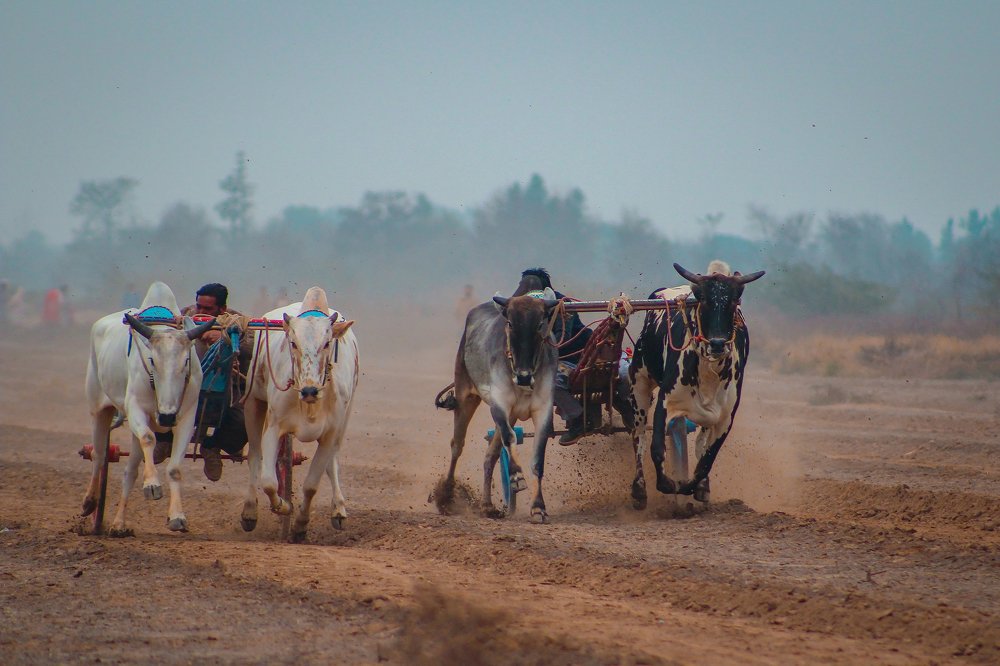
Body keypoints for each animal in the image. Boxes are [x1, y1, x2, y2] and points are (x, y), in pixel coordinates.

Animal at [82, 281, 215, 535]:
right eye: (152, 360)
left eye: (186, 361)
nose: (166, 416)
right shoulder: (135, 409)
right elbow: (149, 438)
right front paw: (152, 485)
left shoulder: (186, 418)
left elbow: (174, 468)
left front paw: (177, 516)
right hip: (97, 408)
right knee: (99, 455)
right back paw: (90, 503)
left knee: (130, 471)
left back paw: (119, 524)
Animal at [241, 286, 358, 543]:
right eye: (293, 343)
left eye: (327, 343)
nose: (309, 390)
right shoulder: (274, 427)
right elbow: (269, 481)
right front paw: (284, 506)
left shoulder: (331, 433)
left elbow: (312, 485)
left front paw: (300, 526)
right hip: (253, 404)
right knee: (254, 455)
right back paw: (249, 511)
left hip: (346, 417)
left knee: (332, 460)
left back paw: (338, 508)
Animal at [435, 287, 560, 523]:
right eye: (510, 322)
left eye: (540, 323)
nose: (523, 376)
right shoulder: (499, 405)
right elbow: (510, 439)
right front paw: (516, 476)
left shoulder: (543, 411)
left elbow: (537, 459)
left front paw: (538, 507)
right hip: (466, 396)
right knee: (457, 445)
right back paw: (446, 495)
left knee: (490, 455)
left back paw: (487, 505)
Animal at [627, 261, 765, 510]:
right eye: (704, 300)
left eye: (733, 301)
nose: (717, 344)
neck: (708, 372)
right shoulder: (665, 402)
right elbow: (656, 449)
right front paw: (669, 485)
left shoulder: (725, 418)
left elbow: (705, 462)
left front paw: (694, 487)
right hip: (639, 385)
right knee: (639, 438)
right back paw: (639, 489)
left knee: (700, 444)